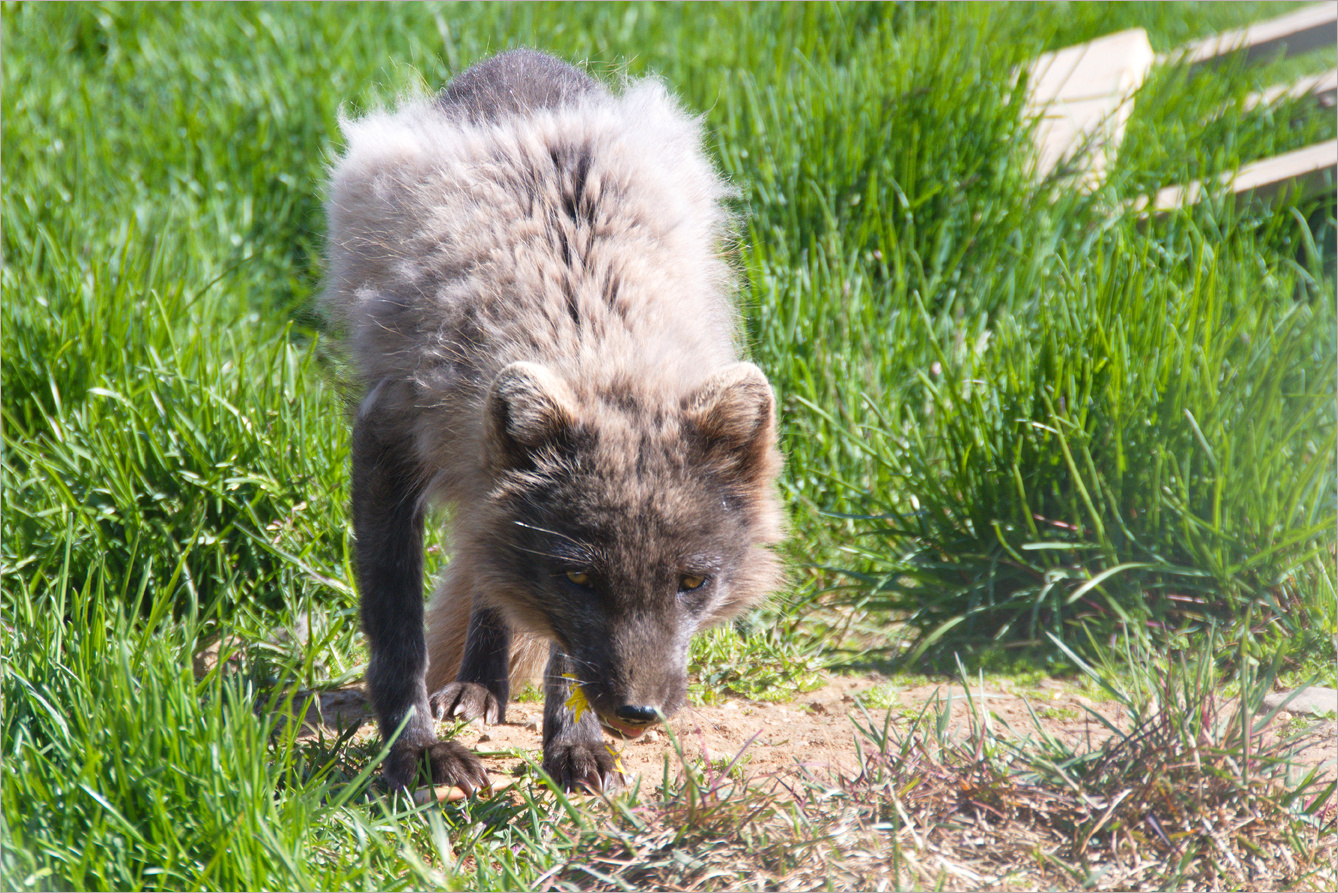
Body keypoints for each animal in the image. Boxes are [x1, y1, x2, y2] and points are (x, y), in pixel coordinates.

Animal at [322, 50, 781, 787]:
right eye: (580, 579)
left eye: (692, 582)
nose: (637, 715)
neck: (586, 330)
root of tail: (521, 60)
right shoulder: (385, 442)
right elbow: (398, 636)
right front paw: (414, 753)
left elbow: (563, 653)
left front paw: (574, 742)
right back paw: (474, 689)